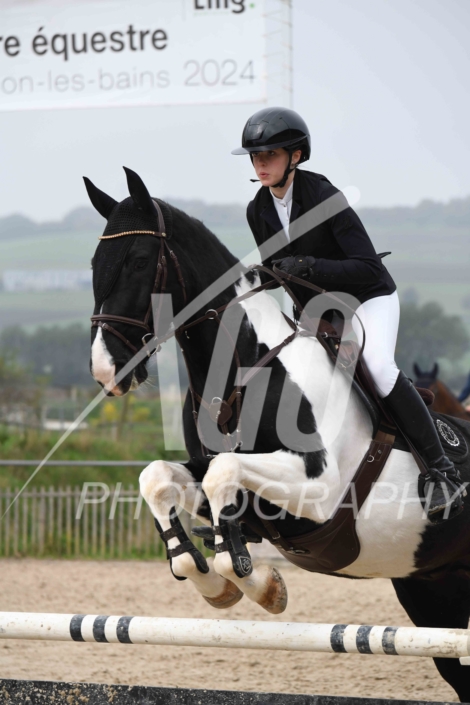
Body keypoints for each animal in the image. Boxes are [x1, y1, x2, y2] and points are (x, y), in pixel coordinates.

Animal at [86, 168, 470, 701]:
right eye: (94, 263)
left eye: (140, 261)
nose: (107, 370)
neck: (243, 366)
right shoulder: (228, 485)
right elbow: (160, 479)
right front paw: (214, 581)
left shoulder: (319, 490)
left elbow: (225, 483)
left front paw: (263, 585)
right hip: (433, 588)